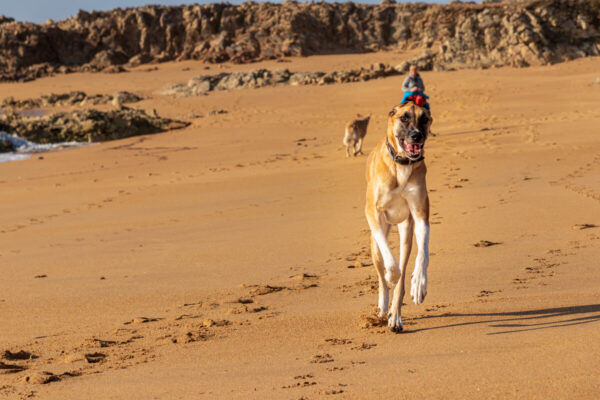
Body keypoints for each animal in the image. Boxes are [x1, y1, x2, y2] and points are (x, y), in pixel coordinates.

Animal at [366, 101, 432, 332]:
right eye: (404, 118)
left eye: (425, 119)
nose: (417, 136)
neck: (402, 163)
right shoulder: (373, 213)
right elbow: (390, 262)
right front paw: (391, 273)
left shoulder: (421, 216)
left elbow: (423, 254)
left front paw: (419, 283)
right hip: (374, 248)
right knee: (383, 280)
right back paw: (382, 308)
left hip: (406, 233)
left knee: (401, 278)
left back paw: (395, 317)